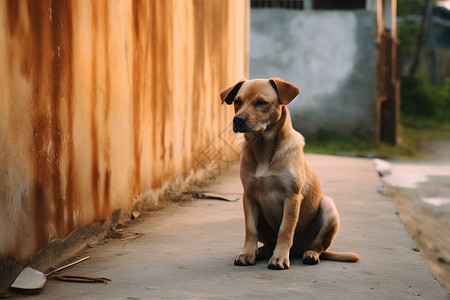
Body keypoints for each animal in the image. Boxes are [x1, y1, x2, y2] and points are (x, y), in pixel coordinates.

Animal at [220, 77, 360, 270]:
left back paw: (310, 254)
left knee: (317, 246)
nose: (238, 119)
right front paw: (247, 253)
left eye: (262, 102)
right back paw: (262, 251)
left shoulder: (292, 197)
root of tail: (297, 251)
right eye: (237, 101)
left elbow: (285, 230)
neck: (263, 150)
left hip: (328, 207)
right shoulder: (248, 196)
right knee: (268, 242)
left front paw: (279, 257)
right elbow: (250, 229)